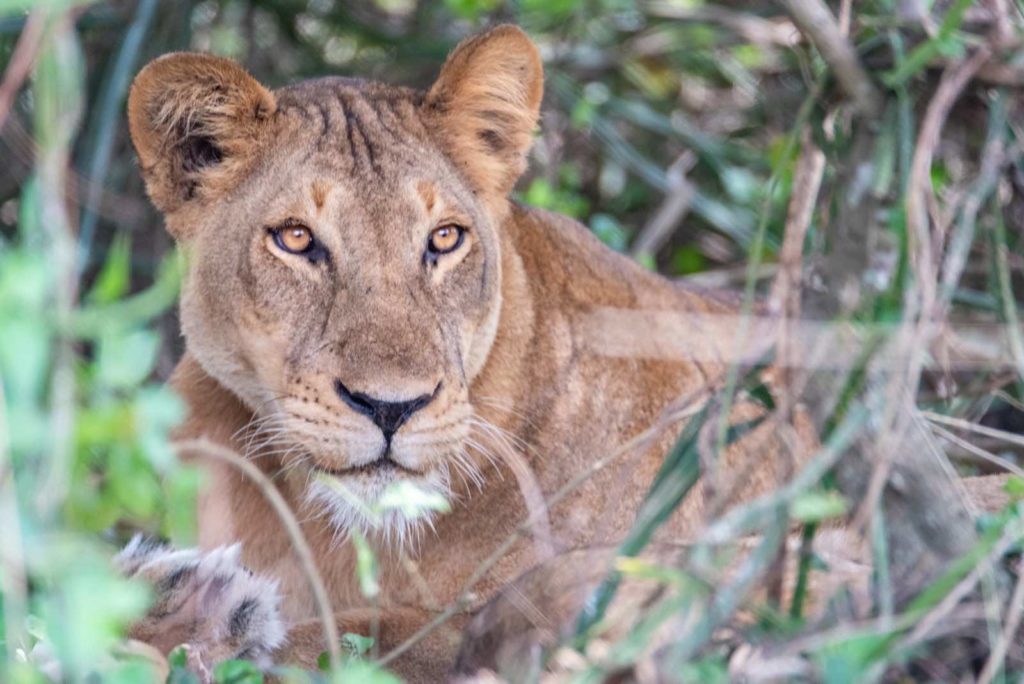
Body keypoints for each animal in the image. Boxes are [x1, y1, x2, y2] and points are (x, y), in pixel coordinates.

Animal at [120, 24, 1007, 682]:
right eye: (297, 240)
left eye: (444, 240)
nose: (391, 408)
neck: (317, 525)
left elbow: (368, 638)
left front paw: (204, 615)